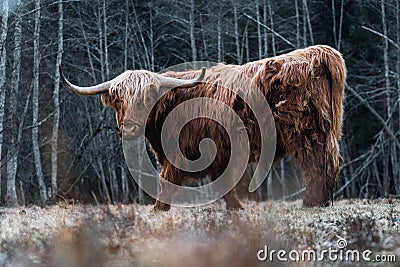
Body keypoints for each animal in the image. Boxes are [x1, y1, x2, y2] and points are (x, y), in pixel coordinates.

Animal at [61, 45, 346, 213]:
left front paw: (158, 209)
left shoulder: (187, 150)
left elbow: (170, 181)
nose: (130, 128)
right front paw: (236, 208)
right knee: (329, 161)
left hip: (306, 131)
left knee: (317, 164)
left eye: (147, 96)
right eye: (119, 100)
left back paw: (312, 201)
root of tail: (317, 53)